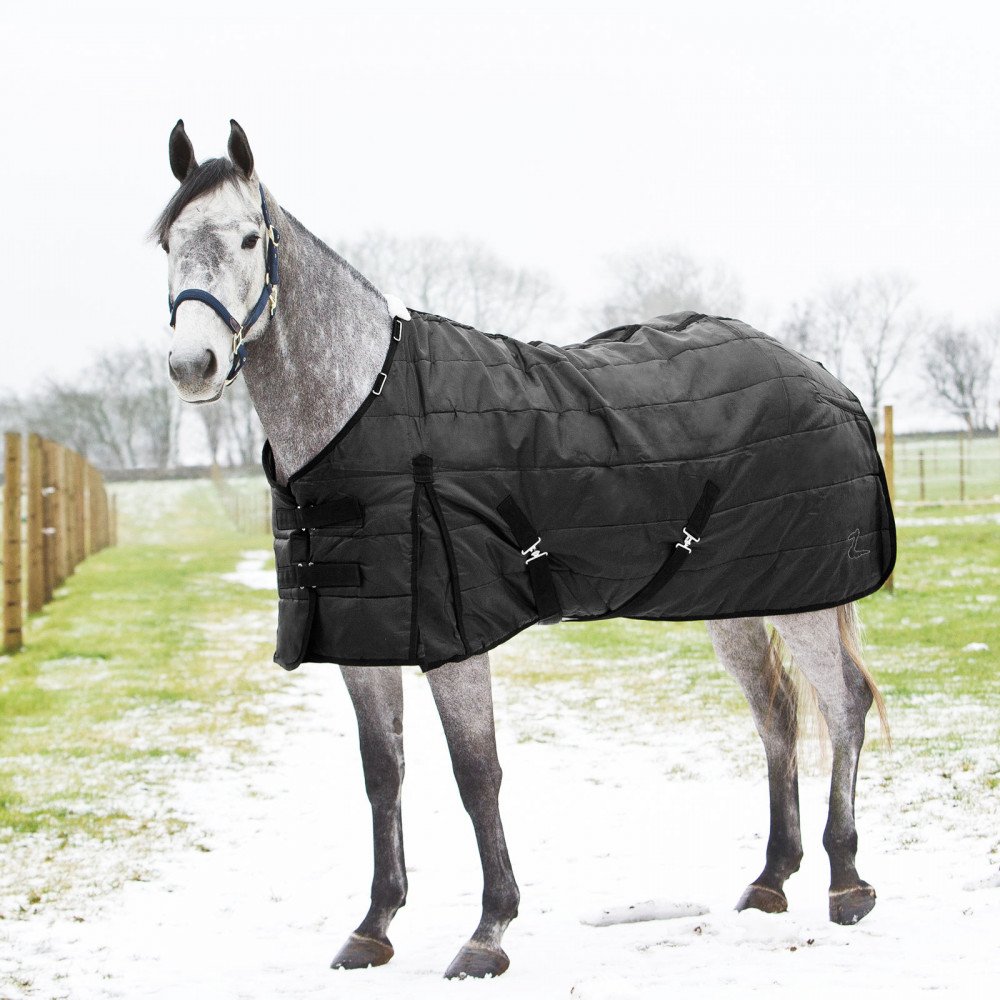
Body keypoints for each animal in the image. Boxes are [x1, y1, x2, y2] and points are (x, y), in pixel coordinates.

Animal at [152, 119, 889, 980]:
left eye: (247, 237)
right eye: (168, 241)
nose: (193, 365)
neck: (364, 407)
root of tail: (826, 379)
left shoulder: (454, 638)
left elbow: (477, 775)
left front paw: (488, 932)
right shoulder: (364, 641)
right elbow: (382, 774)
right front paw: (374, 926)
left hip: (808, 600)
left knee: (844, 705)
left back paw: (847, 883)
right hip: (737, 601)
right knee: (777, 713)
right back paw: (771, 879)